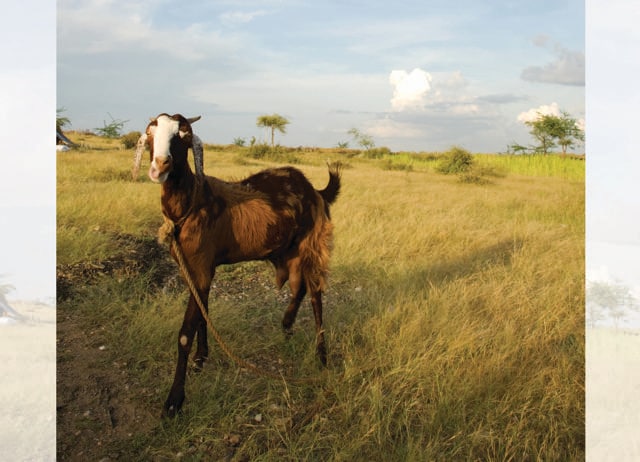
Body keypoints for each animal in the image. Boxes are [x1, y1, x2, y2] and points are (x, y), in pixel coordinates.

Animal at [132, 113, 341, 417]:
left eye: (184, 135)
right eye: (150, 134)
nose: (160, 165)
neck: (191, 204)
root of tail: (317, 192)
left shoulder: (201, 267)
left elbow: (185, 332)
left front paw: (174, 401)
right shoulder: (195, 268)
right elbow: (203, 312)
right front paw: (201, 359)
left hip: (313, 245)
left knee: (315, 295)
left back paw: (321, 356)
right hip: (289, 251)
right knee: (299, 287)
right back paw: (287, 325)